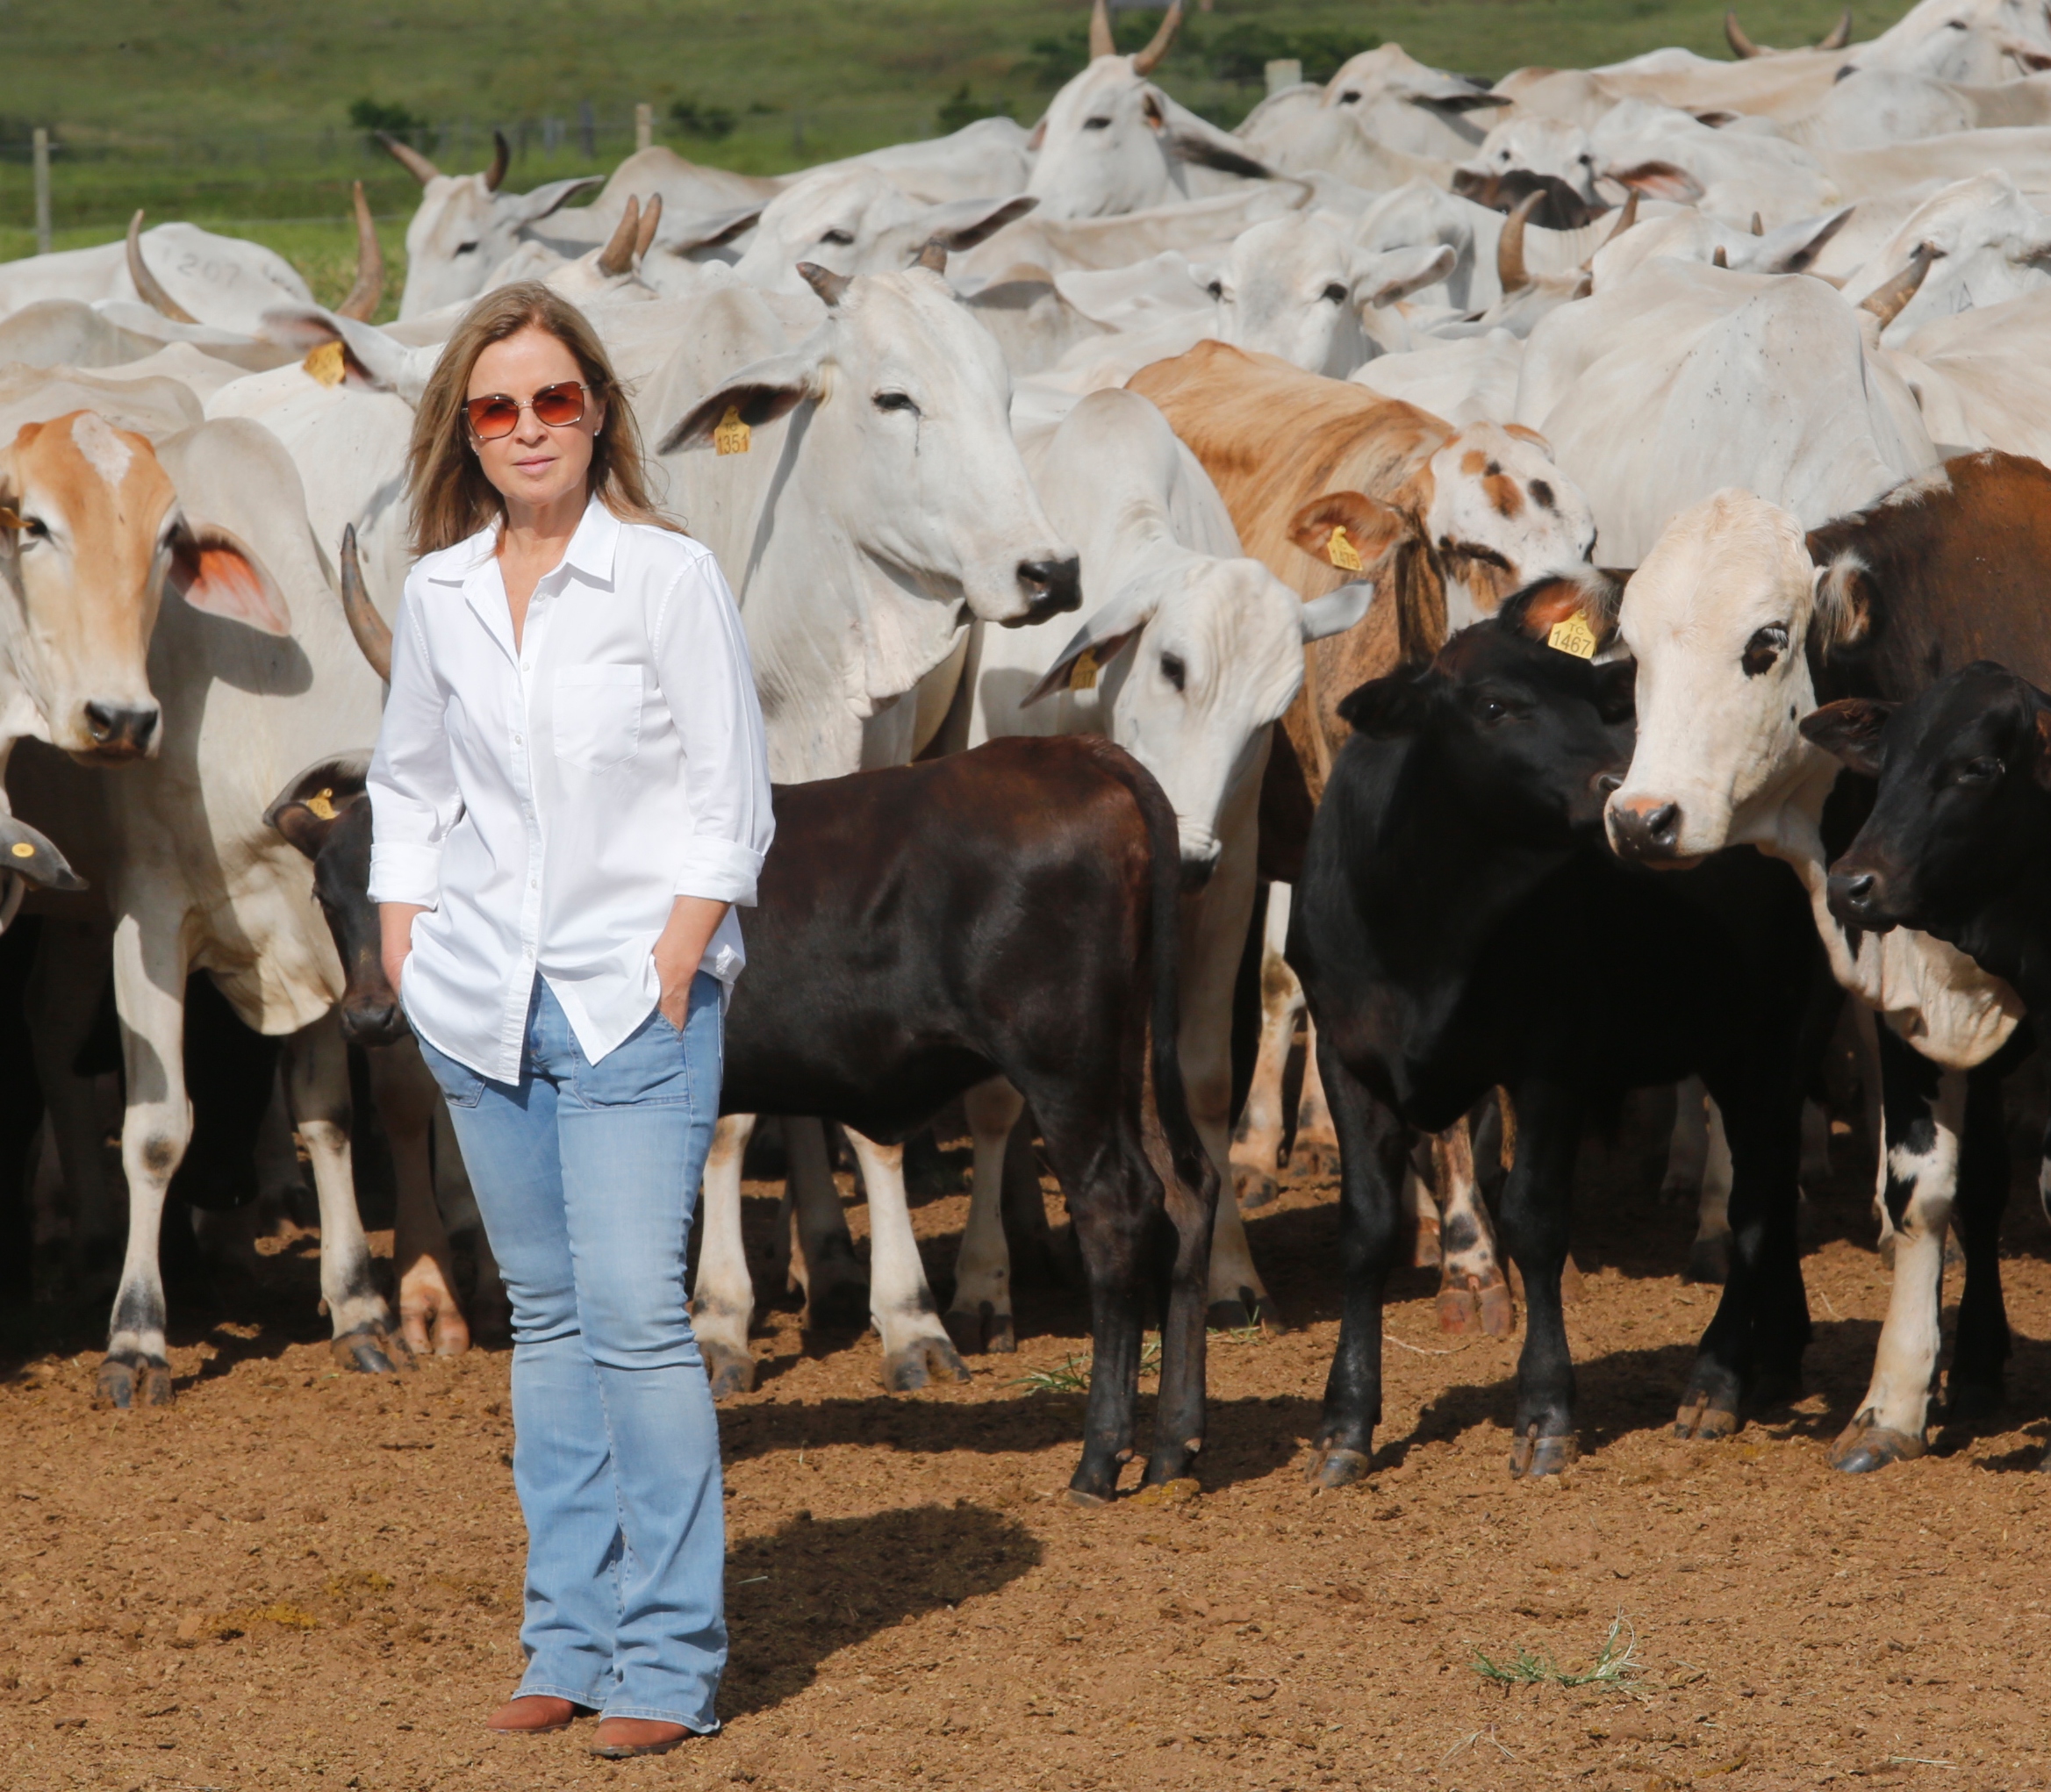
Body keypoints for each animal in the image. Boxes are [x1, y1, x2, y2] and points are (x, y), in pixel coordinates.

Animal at [1287, 599, 1837, 1484]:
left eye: (1599, 700)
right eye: (1493, 706)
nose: (1624, 798)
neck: (1425, 931)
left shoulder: (1548, 1061)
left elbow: (1535, 1223)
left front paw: (1545, 1411)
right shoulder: (1348, 1062)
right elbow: (1365, 1232)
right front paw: (1344, 1424)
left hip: (1783, 1026)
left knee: (1755, 1197)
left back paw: (1715, 1379)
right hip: (1736, 1043)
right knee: (1771, 1177)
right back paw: (1775, 1357)